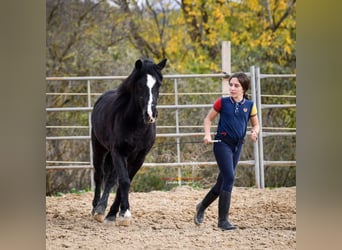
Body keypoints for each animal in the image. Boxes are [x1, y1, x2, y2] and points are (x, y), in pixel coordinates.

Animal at [90, 58, 166, 225]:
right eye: (140, 85)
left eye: (158, 84)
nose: (150, 115)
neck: (136, 126)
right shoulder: (119, 152)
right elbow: (124, 181)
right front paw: (124, 213)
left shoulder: (139, 157)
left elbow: (125, 181)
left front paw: (116, 213)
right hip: (99, 148)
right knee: (99, 175)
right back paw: (96, 209)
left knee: (110, 179)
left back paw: (104, 210)